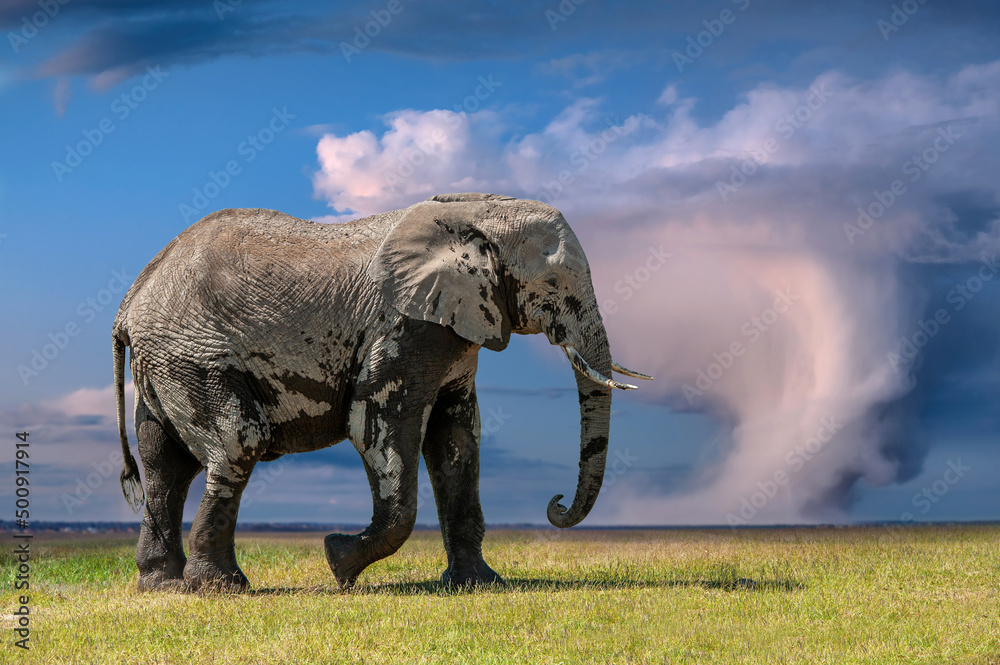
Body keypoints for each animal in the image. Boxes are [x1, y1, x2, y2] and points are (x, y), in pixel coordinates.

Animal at [112, 192, 651, 592]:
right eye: (556, 283)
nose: (555, 503)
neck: (475, 211)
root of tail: (129, 303)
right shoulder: (403, 324)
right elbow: (379, 424)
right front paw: (338, 561)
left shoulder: (454, 326)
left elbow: (457, 441)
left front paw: (479, 584)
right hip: (194, 356)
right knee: (236, 446)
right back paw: (222, 588)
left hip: (164, 364)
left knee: (164, 464)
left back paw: (164, 587)